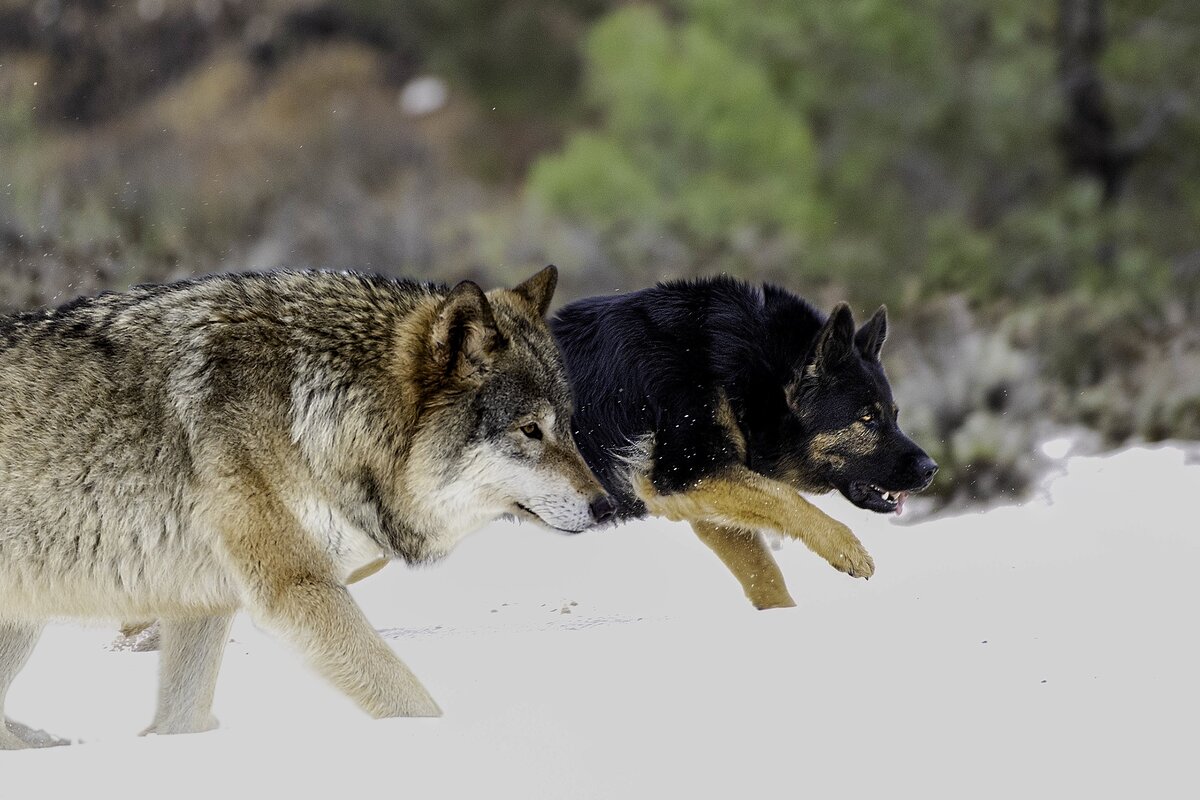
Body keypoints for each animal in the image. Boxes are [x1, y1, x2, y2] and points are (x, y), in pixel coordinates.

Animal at [0, 266, 614, 748]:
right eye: (530, 430)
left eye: (567, 425)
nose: (606, 506)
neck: (318, 409)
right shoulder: (297, 587)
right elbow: (412, 702)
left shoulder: (203, 605)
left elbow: (180, 721)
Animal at [549, 278, 936, 609]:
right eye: (867, 418)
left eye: (894, 415)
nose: (931, 469)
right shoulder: (686, 474)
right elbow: (787, 498)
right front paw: (846, 547)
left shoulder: (706, 501)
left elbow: (764, 573)